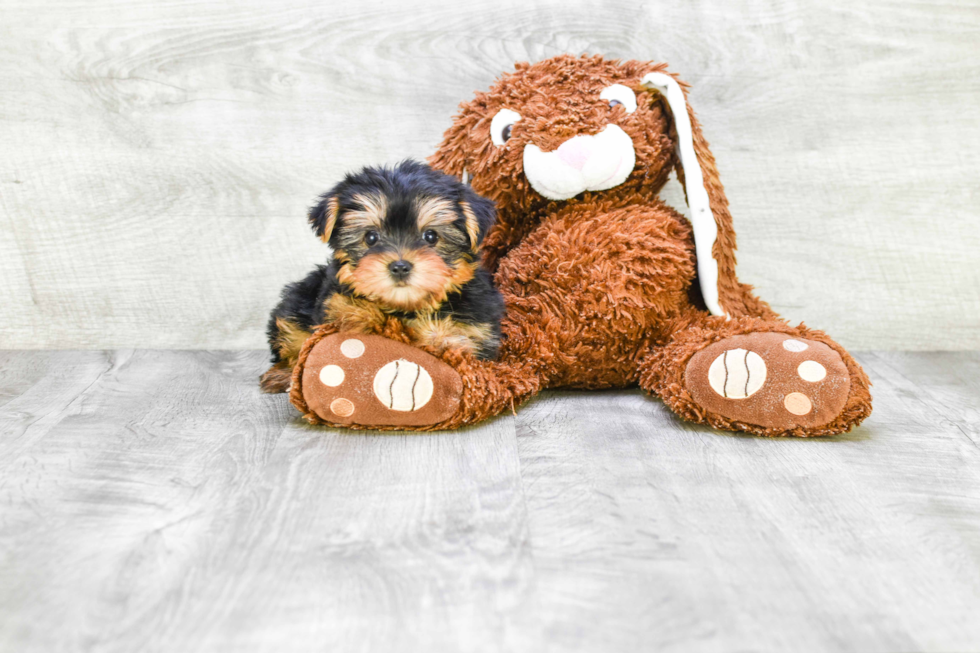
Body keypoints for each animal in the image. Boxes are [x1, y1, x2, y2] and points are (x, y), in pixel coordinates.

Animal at [258, 159, 502, 392]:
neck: (405, 307)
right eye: (371, 237)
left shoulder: (475, 331)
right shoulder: (330, 301)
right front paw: (363, 315)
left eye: (431, 236)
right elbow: (343, 307)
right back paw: (283, 374)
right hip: (299, 297)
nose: (400, 266)